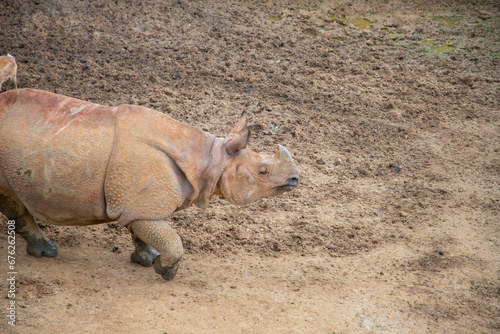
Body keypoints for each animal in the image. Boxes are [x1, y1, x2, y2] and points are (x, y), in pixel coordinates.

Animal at [0, 88, 298, 280]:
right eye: (263, 172)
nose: (295, 178)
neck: (208, 159)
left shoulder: (138, 205)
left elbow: (142, 232)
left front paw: (146, 259)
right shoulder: (141, 206)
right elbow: (173, 241)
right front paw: (165, 270)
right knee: (10, 198)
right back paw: (46, 251)